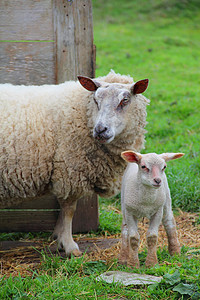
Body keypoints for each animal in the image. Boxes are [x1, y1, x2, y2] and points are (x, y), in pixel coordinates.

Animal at [0, 69, 149, 255]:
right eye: (96, 100)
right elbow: (69, 211)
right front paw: (69, 245)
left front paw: (58, 237)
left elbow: (63, 212)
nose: (100, 130)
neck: (82, 112)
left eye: (125, 100)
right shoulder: (69, 171)